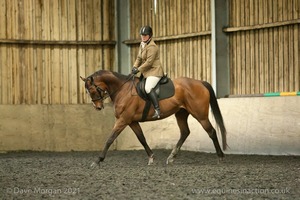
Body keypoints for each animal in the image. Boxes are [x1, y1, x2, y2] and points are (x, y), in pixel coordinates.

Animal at [80, 69, 227, 166]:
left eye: (91, 90)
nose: (98, 107)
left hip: (200, 115)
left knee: (211, 132)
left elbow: (110, 139)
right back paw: (171, 157)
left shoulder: (123, 120)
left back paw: (220, 157)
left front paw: (98, 160)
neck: (122, 90)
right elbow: (141, 138)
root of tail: (200, 82)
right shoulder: (132, 121)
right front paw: (151, 157)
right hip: (181, 113)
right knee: (185, 132)